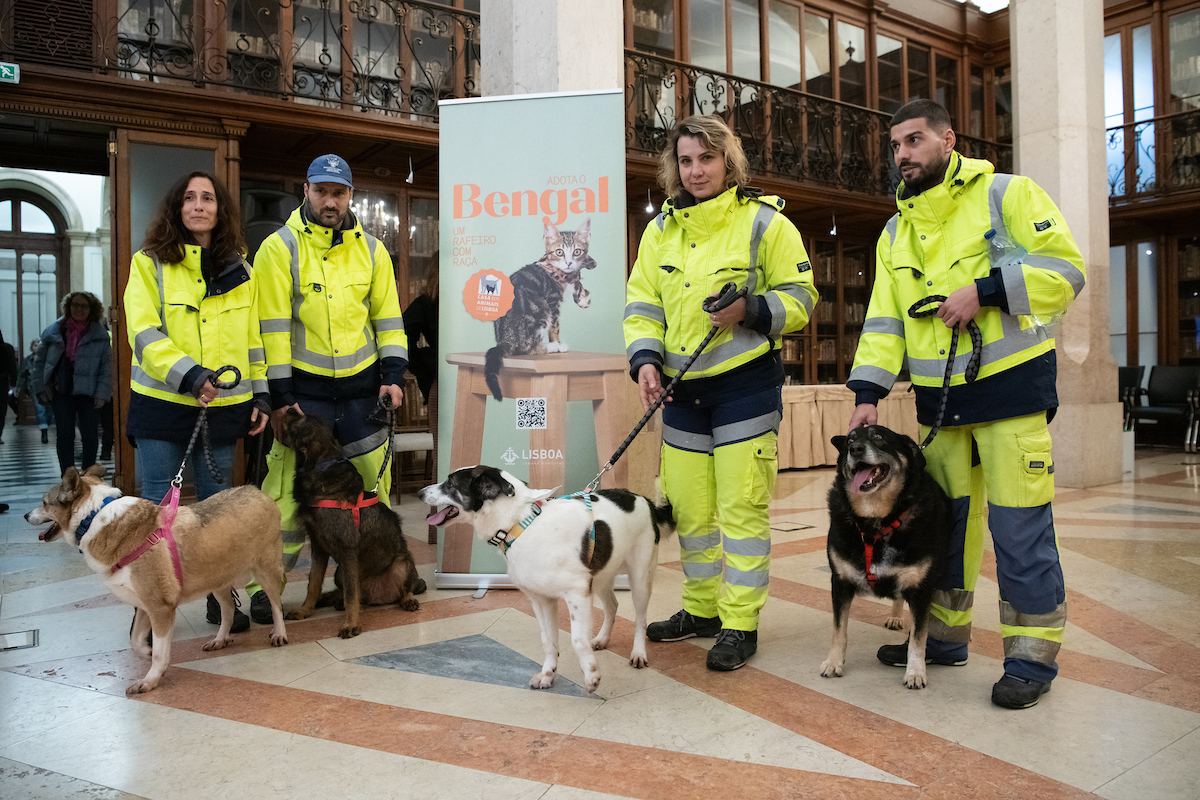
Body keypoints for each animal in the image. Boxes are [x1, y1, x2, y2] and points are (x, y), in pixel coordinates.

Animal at [25, 465, 288, 695]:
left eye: (44, 503)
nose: (26, 515)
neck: (94, 516)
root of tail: (256, 490)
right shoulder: (145, 605)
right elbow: (135, 640)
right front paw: (147, 652)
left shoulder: (161, 608)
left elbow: (161, 653)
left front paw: (150, 679)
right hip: (217, 579)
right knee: (229, 609)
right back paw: (220, 639)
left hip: (266, 570)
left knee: (276, 604)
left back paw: (279, 633)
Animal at [280, 412, 427, 638]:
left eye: (300, 421)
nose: (287, 409)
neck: (323, 466)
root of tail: (375, 595)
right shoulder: (318, 548)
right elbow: (313, 583)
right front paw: (305, 610)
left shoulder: (347, 550)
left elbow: (351, 595)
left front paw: (351, 624)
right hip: (340, 572)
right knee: (351, 595)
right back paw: (338, 601)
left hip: (400, 564)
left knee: (402, 589)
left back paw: (407, 599)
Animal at [420, 470, 676, 695]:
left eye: (450, 484)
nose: (419, 492)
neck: (520, 523)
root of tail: (643, 499)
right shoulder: (542, 599)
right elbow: (549, 641)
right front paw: (548, 674)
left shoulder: (577, 594)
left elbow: (577, 640)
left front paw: (591, 675)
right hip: (602, 574)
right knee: (613, 606)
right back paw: (603, 639)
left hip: (640, 576)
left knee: (640, 619)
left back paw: (638, 653)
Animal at [820, 424, 950, 690]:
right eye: (850, 440)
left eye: (879, 436)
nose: (855, 449)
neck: (875, 523)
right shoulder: (840, 582)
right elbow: (839, 630)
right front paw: (834, 662)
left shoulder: (921, 588)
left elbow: (918, 639)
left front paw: (915, 672)